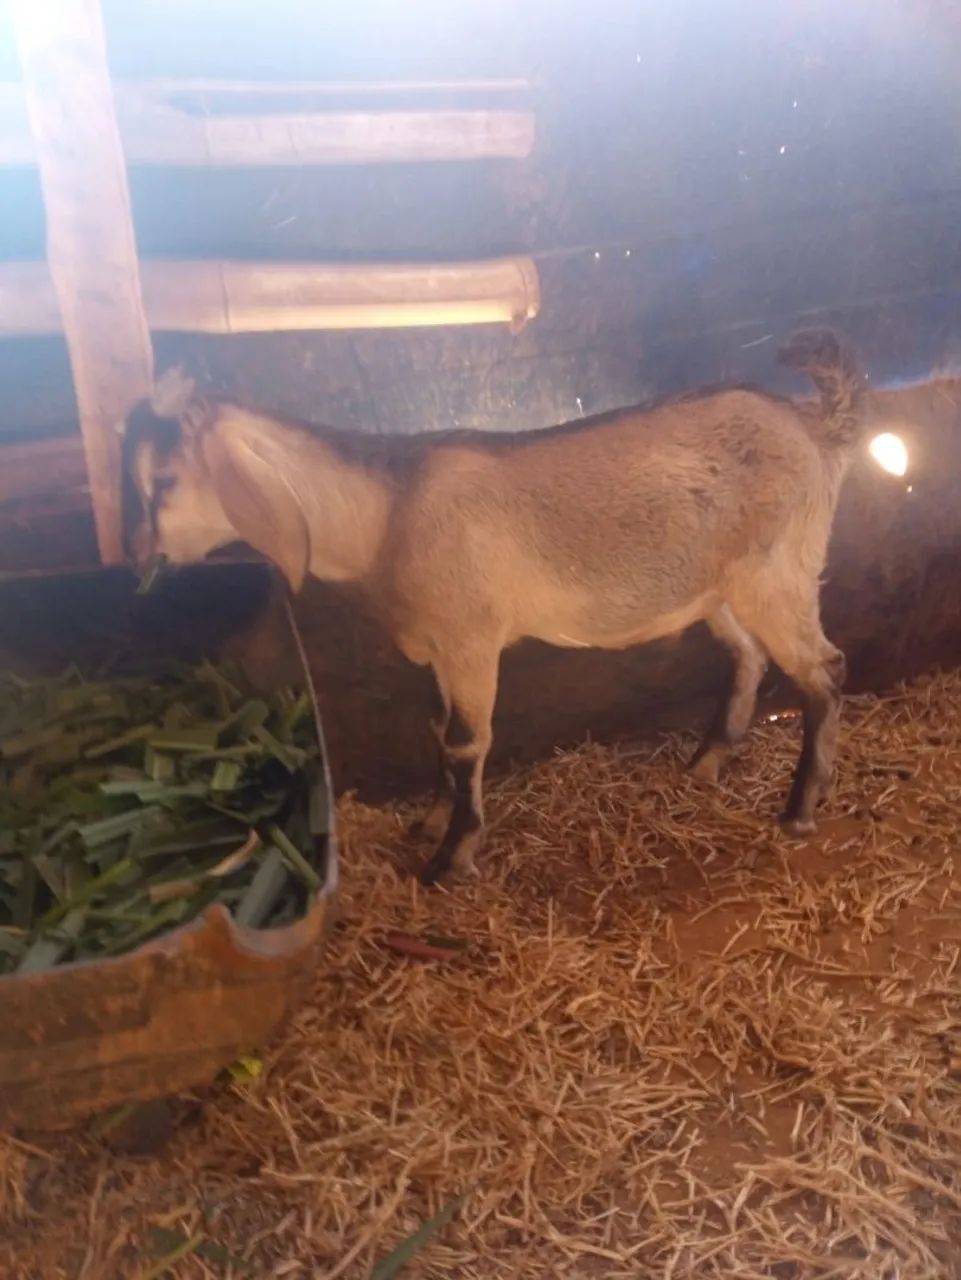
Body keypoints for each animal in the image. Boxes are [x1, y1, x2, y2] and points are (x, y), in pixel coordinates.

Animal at [124, 329, 863, 885]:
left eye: (163, 481)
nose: (139, 563)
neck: (386, 515)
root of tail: (814, 427)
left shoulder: (470, 640)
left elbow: (465, 742)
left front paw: (451, 855)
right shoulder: (437, 651)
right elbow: (436, 728)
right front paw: (430, 820)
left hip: (779, 570)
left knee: (824, 671)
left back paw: (800, 805)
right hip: (719, 585)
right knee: (748, 654)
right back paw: (708, 761)